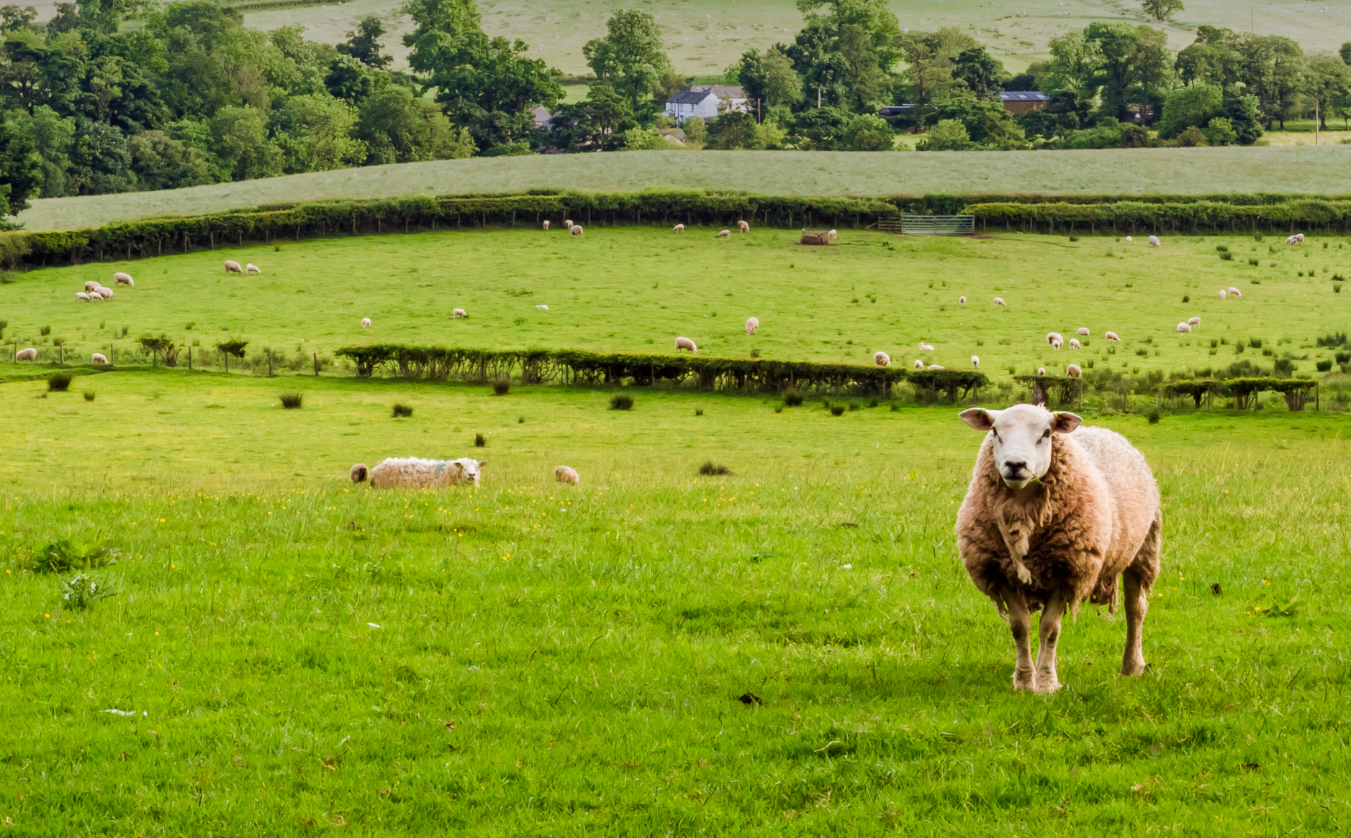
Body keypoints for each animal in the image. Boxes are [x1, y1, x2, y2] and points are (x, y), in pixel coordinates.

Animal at [956, 402, 1167, 692]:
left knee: (1135, 609)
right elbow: (1020, 626)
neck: (1023, 511)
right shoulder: (1001, 573)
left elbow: (1049, 629)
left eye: (1046, 433)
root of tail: (1103, 429)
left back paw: (1131, 667)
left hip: (1142, 548)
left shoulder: (1067, 571)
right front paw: (1025, 681)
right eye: (995, 431)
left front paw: (1046, 683)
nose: (1015, 464)